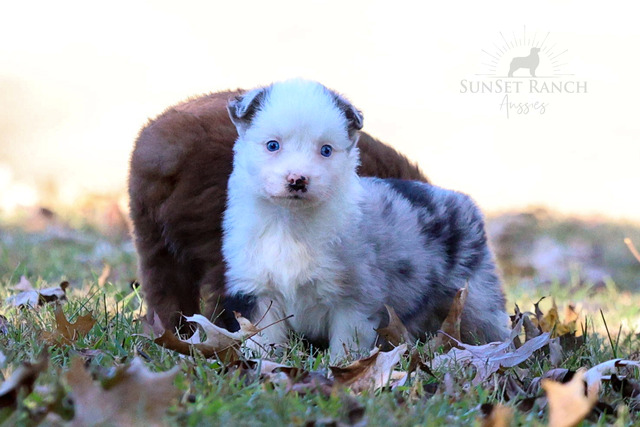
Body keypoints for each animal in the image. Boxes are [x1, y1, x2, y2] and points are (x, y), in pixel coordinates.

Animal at [222, 79, 509, 360]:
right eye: (273, 145)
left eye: (326, 150)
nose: (297, 180)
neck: (290, 222)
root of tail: (462, 200)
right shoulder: (259, 292)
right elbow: (263, 338)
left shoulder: (354, 298)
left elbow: (346, 345)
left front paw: (340, 368)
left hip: (476, 294)